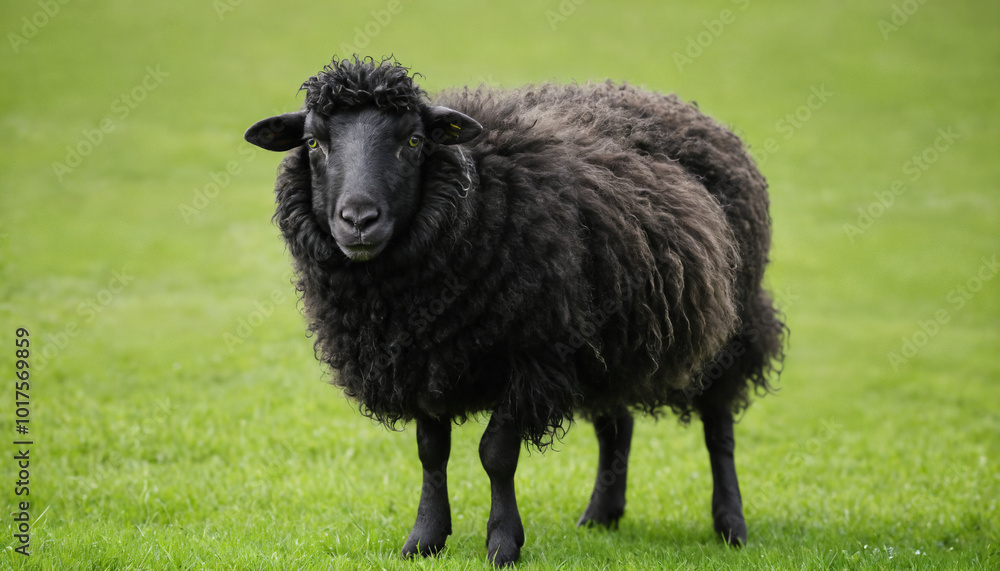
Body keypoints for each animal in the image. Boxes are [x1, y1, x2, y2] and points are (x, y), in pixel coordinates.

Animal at [244, 55, 786, 567]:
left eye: (414, 141)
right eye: (314, 143)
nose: (359, 220)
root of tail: (674, 103)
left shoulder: (532, 353)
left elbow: (496, 454)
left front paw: (503, 543)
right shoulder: (421, 357)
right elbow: (431, 452)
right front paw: (425, 539)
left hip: (732, 326)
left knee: (719, 428)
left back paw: (731, 525)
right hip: (607, 338)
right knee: (616, 425)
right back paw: (601, 514)